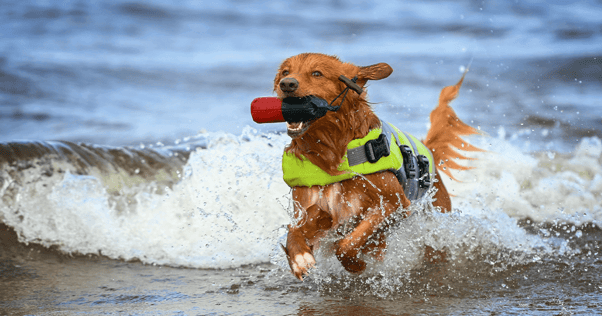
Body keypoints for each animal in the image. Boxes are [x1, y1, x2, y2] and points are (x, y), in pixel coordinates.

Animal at [274, 53, 478, 280]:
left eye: (317, 73)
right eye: (285, 72)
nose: (287, 84)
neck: (331, 152)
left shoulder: (395, 204)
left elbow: (348, 243)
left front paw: (356, 265)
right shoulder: (312, 210)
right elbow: (293, 230)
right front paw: (299, 259)